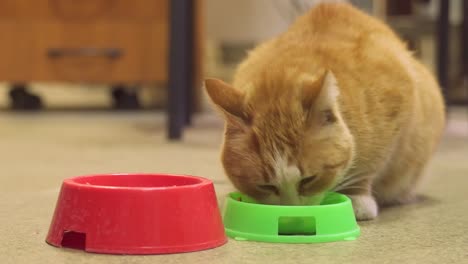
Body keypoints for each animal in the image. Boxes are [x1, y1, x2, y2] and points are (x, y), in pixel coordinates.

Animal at [206, 2, 446, 221]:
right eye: (266, 186)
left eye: (309, 180)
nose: (292, 216)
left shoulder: (397, 105)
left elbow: (371, 164)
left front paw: (357, 198)